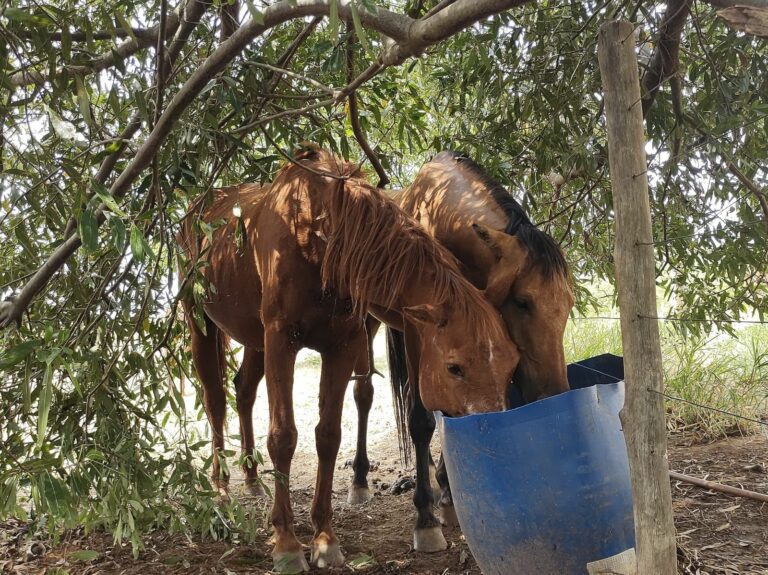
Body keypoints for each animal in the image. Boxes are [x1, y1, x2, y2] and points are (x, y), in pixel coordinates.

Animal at [177, 147, 520, 572]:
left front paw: (325, 538)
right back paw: (222, 491)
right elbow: (283, 436)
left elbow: (328, 435)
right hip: (203, 325)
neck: (316, 231)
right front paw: (286, 542)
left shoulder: (339, 347)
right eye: (454, 367)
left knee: (243, 391)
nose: (495, 443)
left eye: (511, 362)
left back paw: (253, 479)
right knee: (215, 402)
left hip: (254, 340)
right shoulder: (281, 342)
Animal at [348, 150, 574, 536]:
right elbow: (422, 420)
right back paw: (360, 479)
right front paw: (426, 517)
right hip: (366, 319)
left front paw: (448, 496)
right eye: (523, 301)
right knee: (365, 393)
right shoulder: (421, 335)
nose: (554, 394)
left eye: (569, 304)